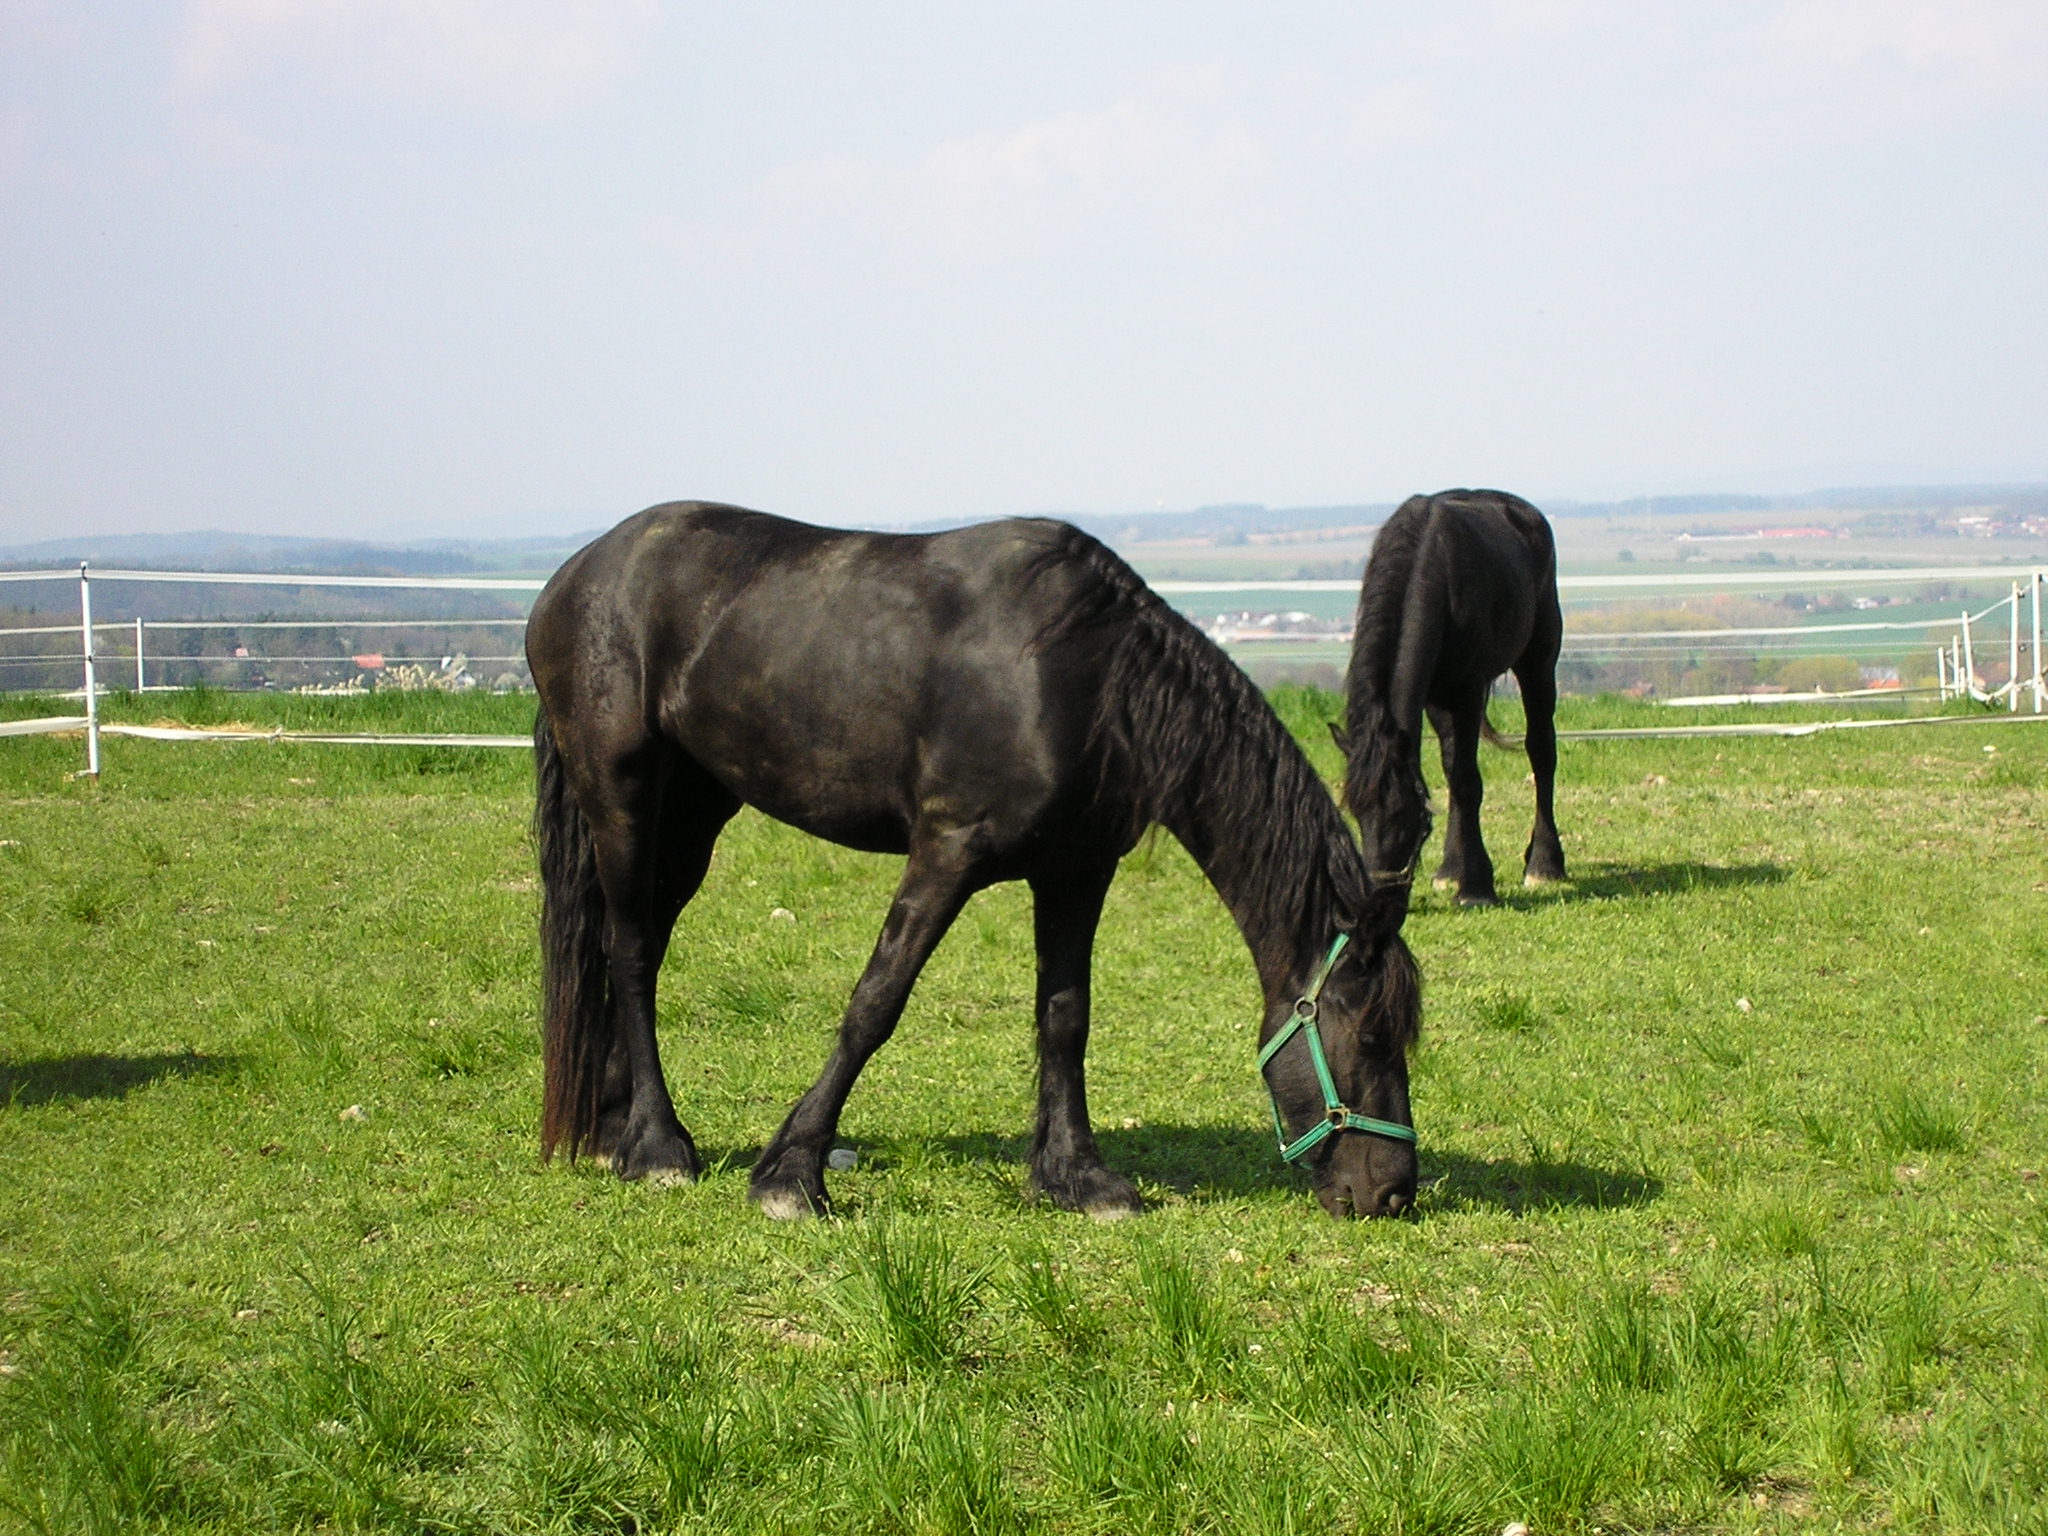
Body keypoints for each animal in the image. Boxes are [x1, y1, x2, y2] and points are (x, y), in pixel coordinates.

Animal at [1327, 487, 1564, 909]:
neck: (1433, 571)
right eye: (1356, 812)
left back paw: (1544, 864)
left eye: (1405, 815)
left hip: (1539, 658)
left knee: (1541, 751)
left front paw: (1476, 887)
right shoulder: (1436, 699)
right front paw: (1456, 872)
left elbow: (1467, 780)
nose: (1377, 896)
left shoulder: (1466, 690)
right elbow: (1453, 773)